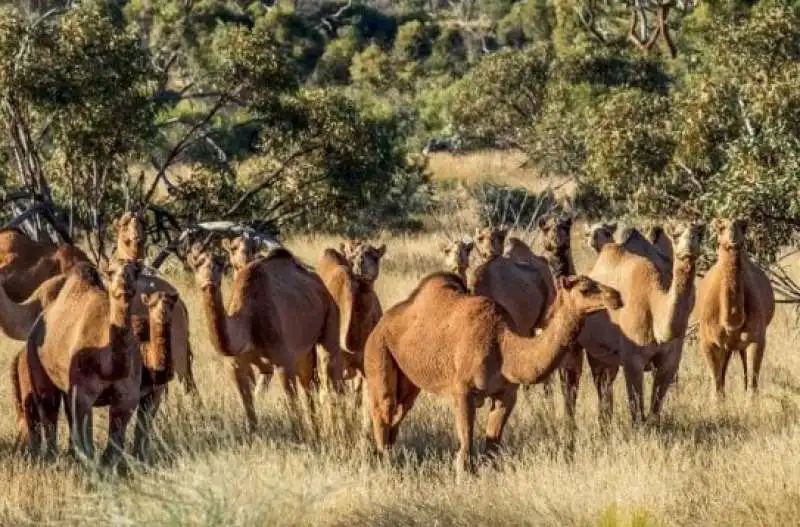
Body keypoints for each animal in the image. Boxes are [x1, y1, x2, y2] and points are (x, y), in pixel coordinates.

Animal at [23, 260, 145, 462]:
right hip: (35, 360)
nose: (124, 284)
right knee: (48, 409)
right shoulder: (83, 394)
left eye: (136, 271)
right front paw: (88, 461)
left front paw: (112, 464)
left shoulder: (127, 398)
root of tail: (37, 323)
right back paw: (52, 456)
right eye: (110, 272)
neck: (111, 368)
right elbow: (86, 434)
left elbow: (115, 440)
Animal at [108, 212, 196, 394]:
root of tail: (181, 304)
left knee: (185, 382)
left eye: (141, 223)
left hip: (178, 345)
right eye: (124, 224)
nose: (137, 238)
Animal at [188, 243, 344, 428]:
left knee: (326, 376)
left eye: (219, 264)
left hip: (331, 317)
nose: (209, 282)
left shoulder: (284, 363)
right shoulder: (234, 366)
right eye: (197, 263)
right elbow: (249, 412)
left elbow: (293, 409)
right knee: (310, 385)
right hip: (304, 353)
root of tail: (319, 285)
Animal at [366, 272, 620, 478]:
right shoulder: (463, 392)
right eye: (585, 289)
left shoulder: (506, 394)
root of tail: (382, 321)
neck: (504, 348)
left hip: (409, 382)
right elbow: (466, 450)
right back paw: (385, 466)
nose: (616, 296)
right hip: (379, 351)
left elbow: (491, 447)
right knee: (383, 411)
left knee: (398, 415)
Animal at [696, 218, 772, 396]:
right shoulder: (708, 342)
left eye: (742, 226)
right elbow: (716, 385)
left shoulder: (757, 339)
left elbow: (753, 384)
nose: (733, 241)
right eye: (720, 227)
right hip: (726, 346)